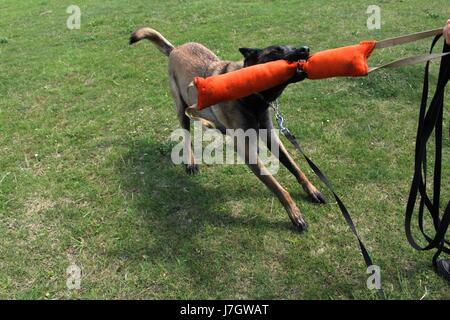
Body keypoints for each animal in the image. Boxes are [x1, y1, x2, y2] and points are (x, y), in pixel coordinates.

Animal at [128, 27, 326, 231]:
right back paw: (191, 162)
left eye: (290, 46)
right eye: (275, 51)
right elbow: (277, 187)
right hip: (181, 108)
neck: (252, 95)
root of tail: (175, 48)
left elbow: (296, 168)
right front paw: (294, 213)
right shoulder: (247, 152)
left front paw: (312, 190)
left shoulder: (271, 136)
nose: (305, 49)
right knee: (186, 134)